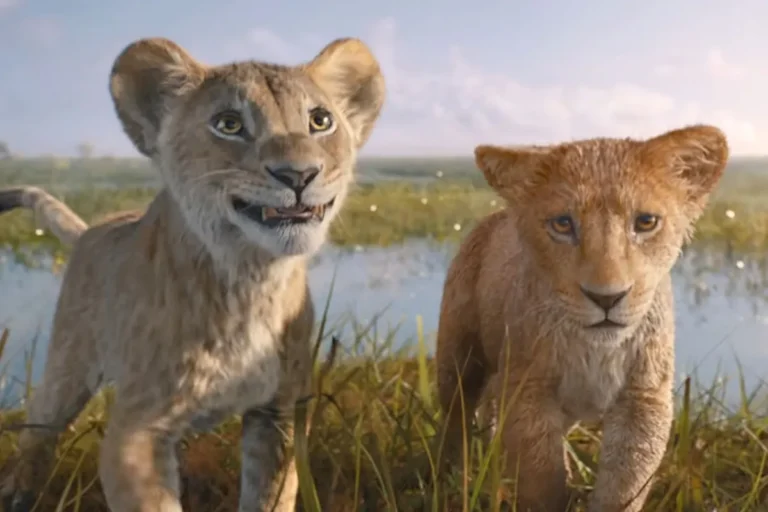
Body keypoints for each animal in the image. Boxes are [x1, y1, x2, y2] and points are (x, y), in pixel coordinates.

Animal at [0, 35, 384, 512]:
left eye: (320, 120)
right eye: (229, 124)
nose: (299, 174)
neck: (250, 278)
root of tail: (95, 228)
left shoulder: (277, 414)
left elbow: (272, 494)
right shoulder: (135, 430)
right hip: (67, 366)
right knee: (39, 428)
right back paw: (17, 493)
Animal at [435, 125, 729, 511]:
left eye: (646, 222)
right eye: (562, 224)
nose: (607, 298)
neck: (595, 349)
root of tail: (495, 216)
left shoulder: (643, 399)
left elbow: (624, 487)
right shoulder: (529, 390)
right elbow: (542, 481)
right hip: (459, 358)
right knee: (456, 418)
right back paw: (451, 477)